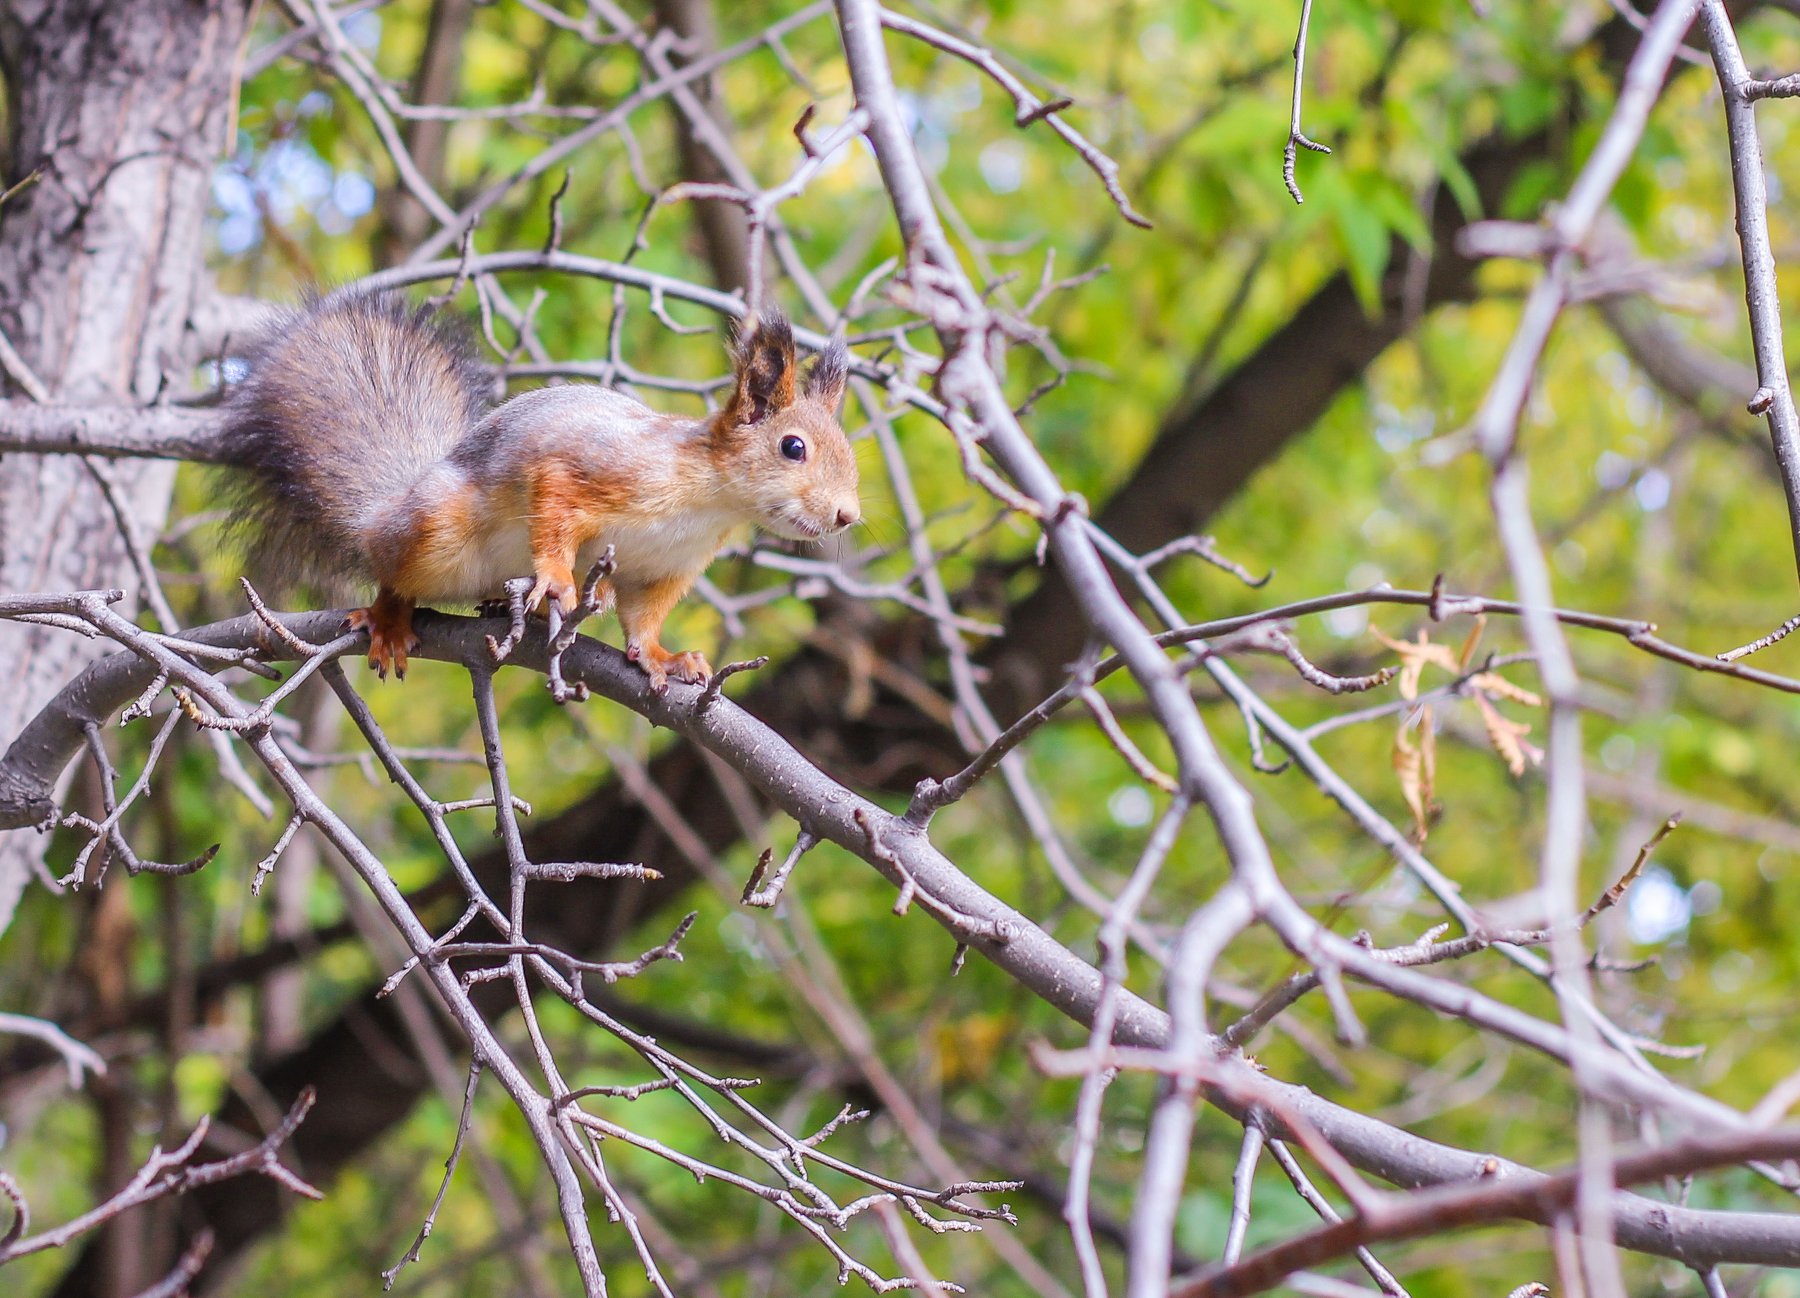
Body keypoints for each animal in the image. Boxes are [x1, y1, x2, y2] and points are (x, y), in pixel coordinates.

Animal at [221, 293, 860, 687]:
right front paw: (556, 579)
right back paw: (390, 619)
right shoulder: (595, 469)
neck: (709, 506)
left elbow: (643, 618)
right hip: (433, 528)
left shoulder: (664, 569)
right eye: (793, 447)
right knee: (393, 569)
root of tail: (386, 508)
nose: (847, 516)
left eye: (850, 456)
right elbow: (553, 505)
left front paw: (664, 658)